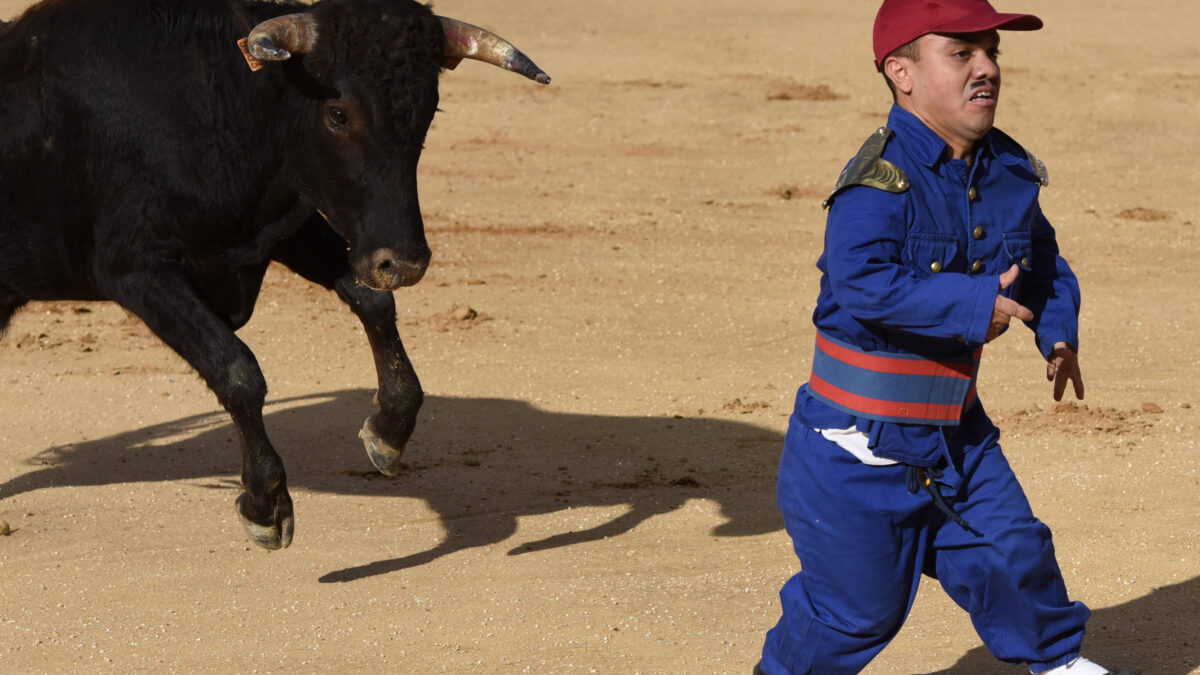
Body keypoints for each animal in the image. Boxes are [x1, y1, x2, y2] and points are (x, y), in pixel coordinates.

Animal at [0, 0, 549, 547]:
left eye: (429, 112)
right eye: (337, 113)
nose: (404, 263)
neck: (212, 104)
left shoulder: (285, 229)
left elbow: (370, 300)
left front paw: (388, 430)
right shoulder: (136, 268)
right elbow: (236, 368)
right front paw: (266, 503)